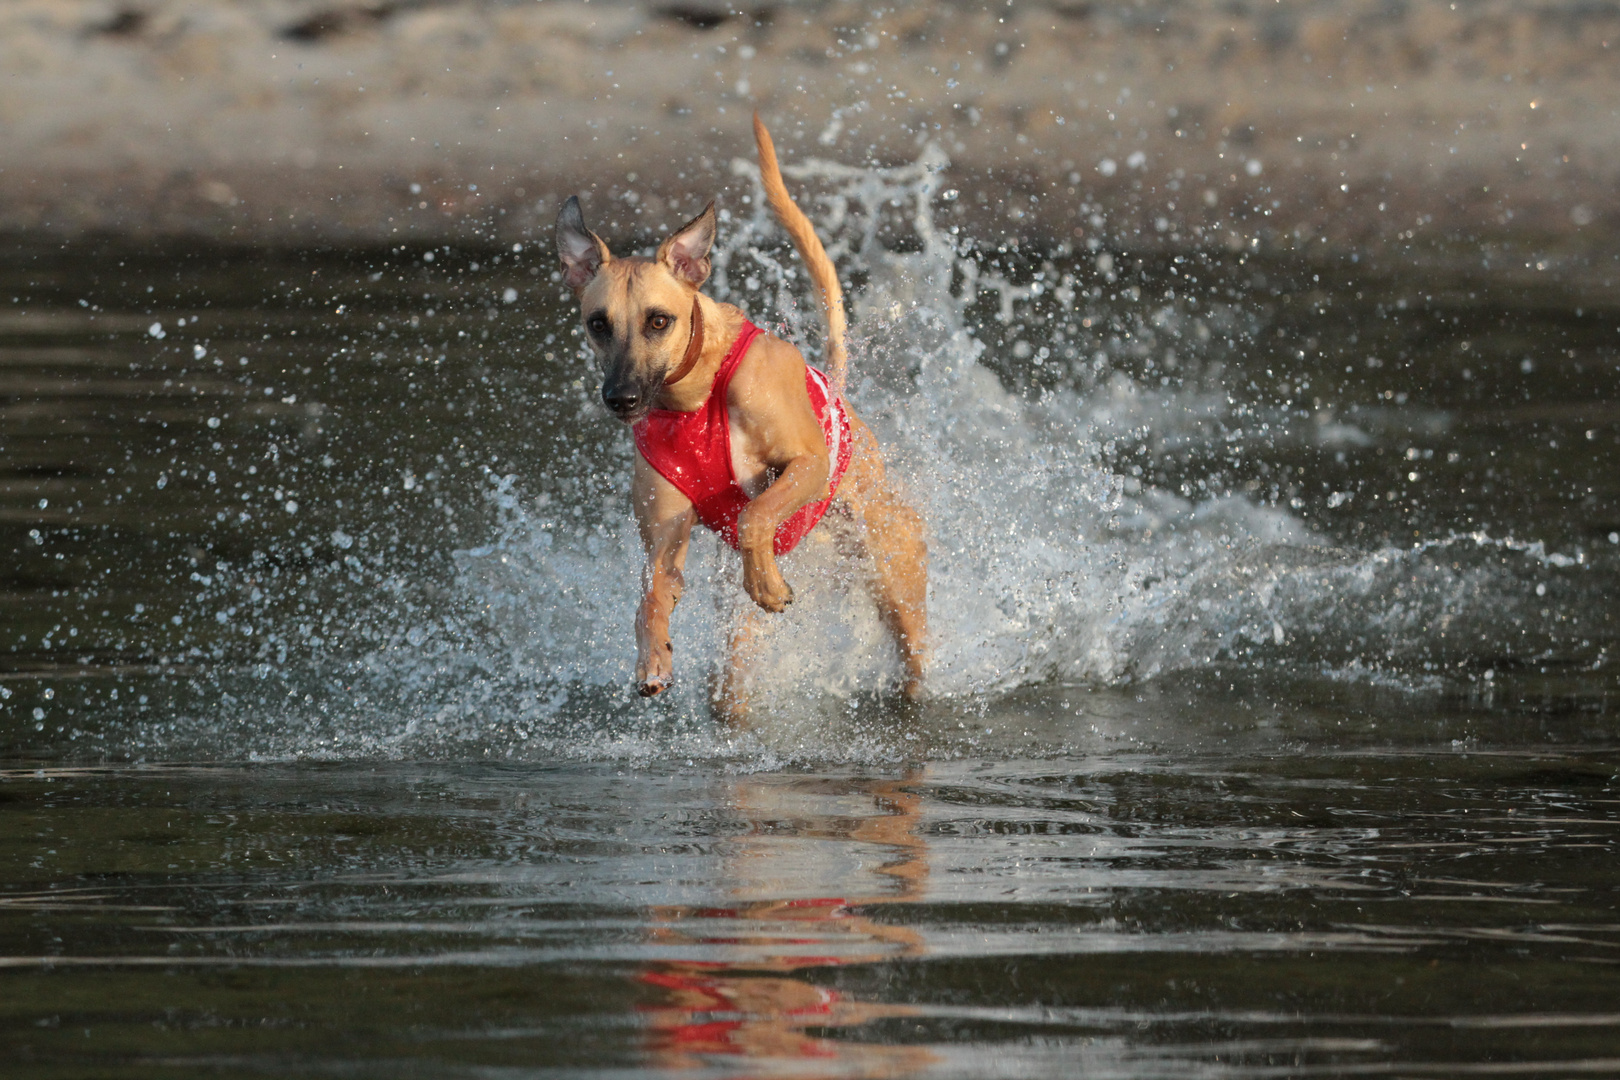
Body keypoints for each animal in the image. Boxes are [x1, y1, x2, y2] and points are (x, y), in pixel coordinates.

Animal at [554, 114, 926, 718]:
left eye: (659, 320)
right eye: (597, 323)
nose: (621, 399)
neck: (695, 398)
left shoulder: (806, 465)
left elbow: (755, 514)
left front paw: (769, 585)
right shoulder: (664, 539)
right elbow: (651, 594)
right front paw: (652, 658)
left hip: (894, 569)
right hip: (741, 643)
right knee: (730, 685)